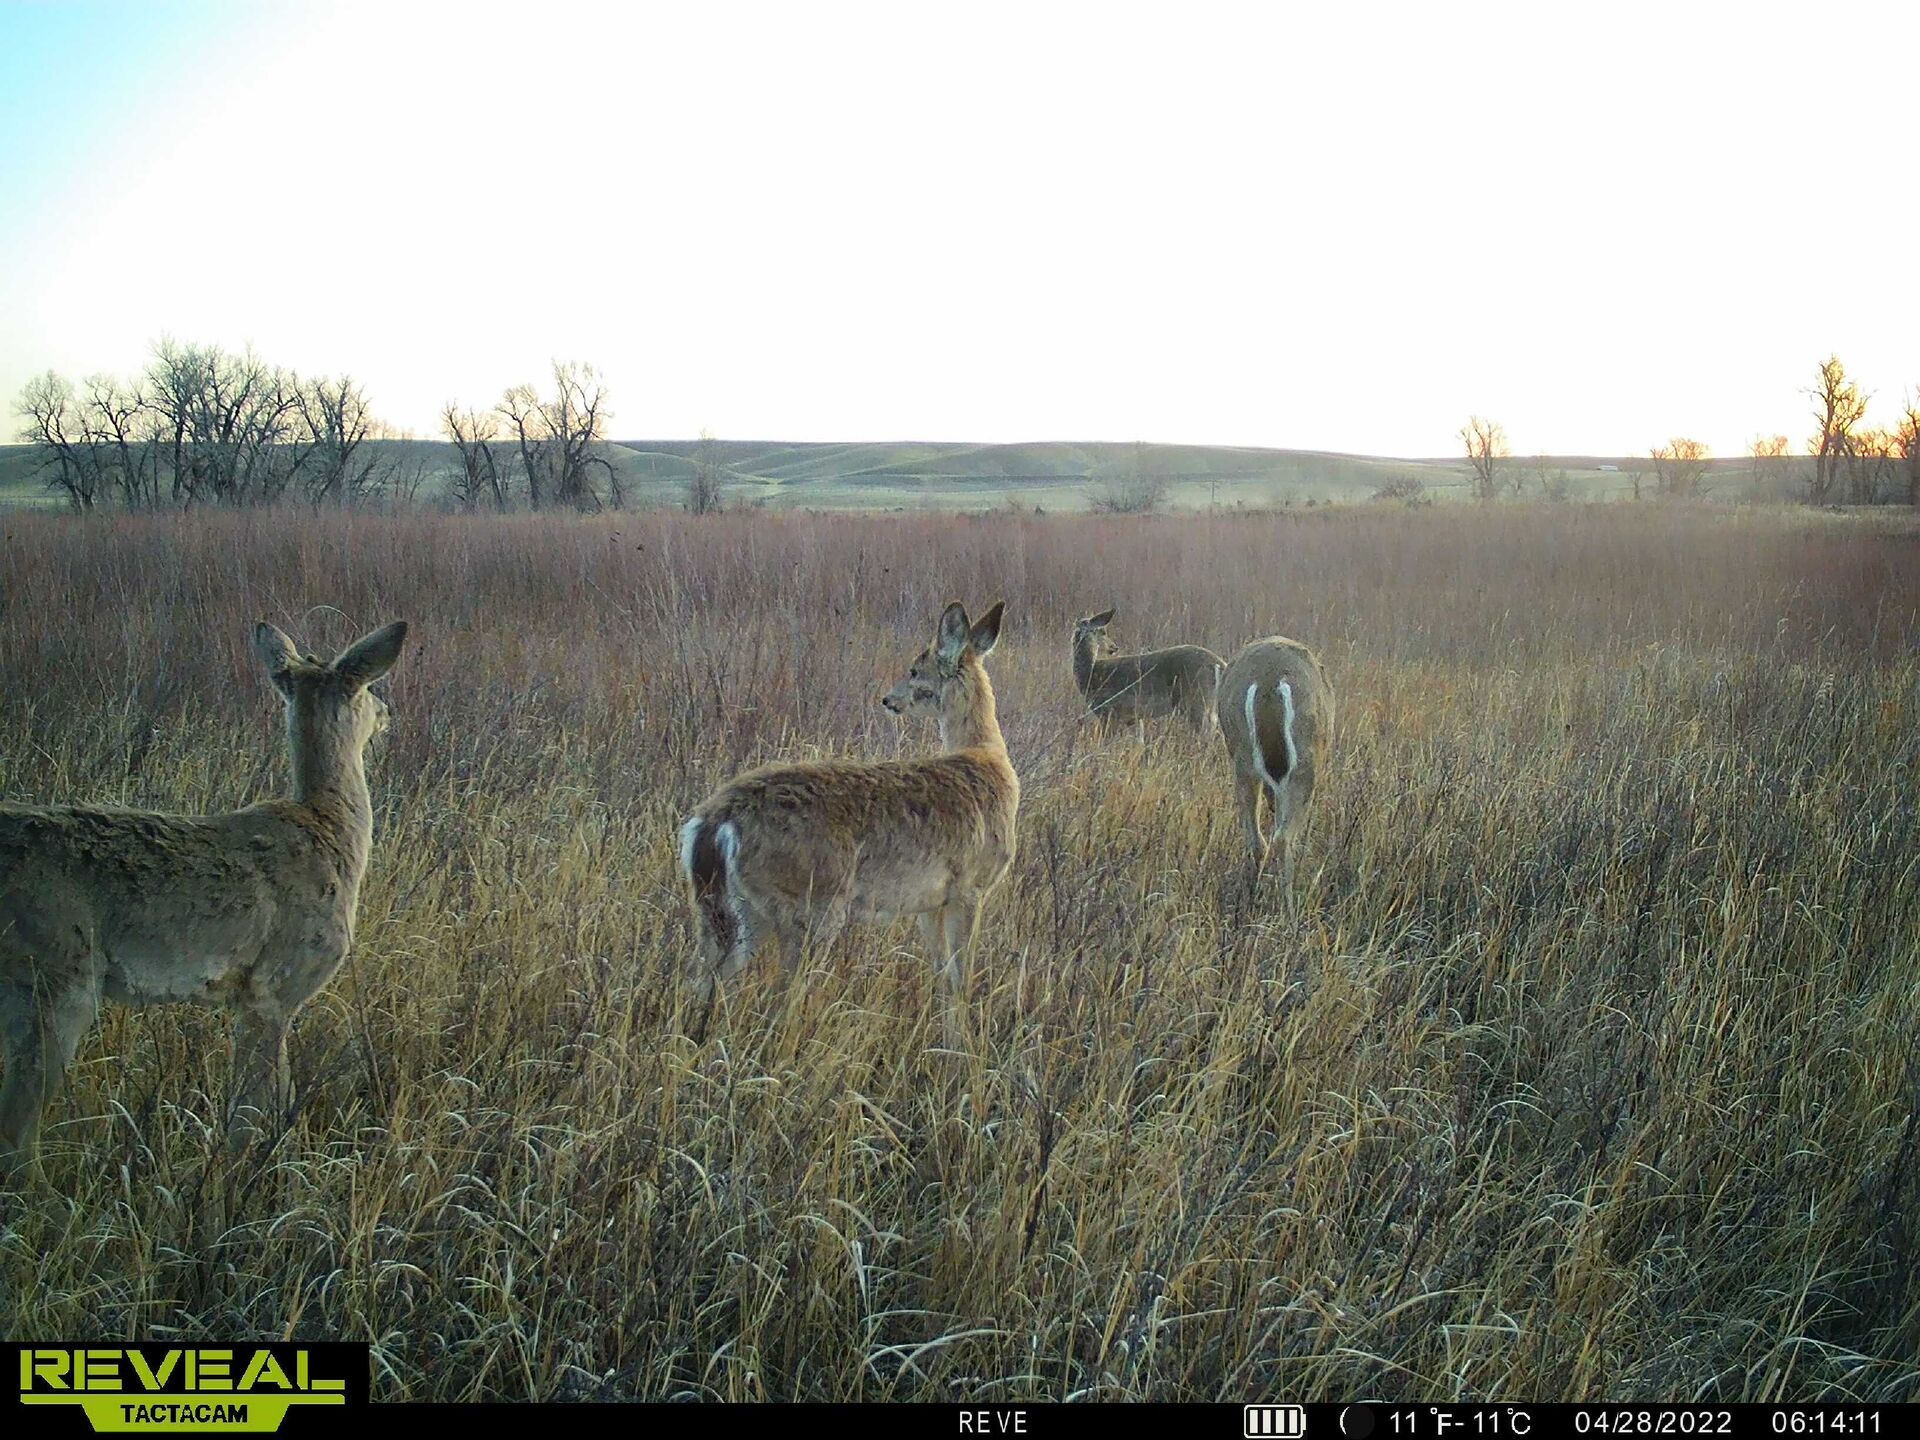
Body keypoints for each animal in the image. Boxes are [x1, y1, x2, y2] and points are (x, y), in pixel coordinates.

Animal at [0, 619, 410, 1174]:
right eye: (367, 690)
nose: (387, 712)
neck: (329, 831)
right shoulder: (273, 989)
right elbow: (255, 1108)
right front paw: (247, 1176)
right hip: (56, 979)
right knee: (17, 1129)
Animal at [679, 600, 1018, 1008]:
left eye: (914, 669)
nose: (888, 699)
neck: (987, 757)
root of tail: (714, 824)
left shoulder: (930, 902)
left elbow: (944, 977)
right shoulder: (970, 886)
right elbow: (961, 982)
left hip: (725, 910)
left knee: (700, 983)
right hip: (809, 906)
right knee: (778, 1000)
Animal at [1071, 607, 1225, 735]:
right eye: (1103, 632)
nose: (1114, 647)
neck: (1090, 674)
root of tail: (1220, 664)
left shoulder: (1109, 712)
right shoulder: (1134, 718)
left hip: (1197, 699)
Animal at [1216, 636, 1334, 907]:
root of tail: (1269, 682)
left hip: (1242, 757)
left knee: (1256, 839)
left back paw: (1253, 897)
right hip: (1306, 759)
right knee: (1282, 837)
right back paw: (1289, 910)